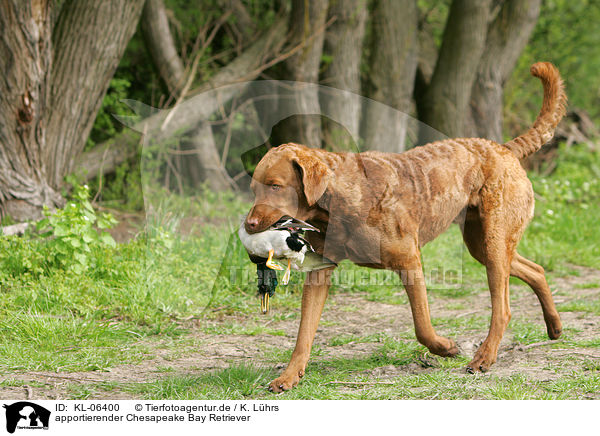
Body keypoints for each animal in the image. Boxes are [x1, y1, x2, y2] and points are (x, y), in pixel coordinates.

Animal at [244, 62, 568, 392]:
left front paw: (446, 348)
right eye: (254, 189)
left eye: (275, 186)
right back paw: (554, 327)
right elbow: (304, 334)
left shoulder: (410, 260)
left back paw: (484, 358)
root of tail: (504, 148)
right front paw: (288, 376)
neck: (339, 199)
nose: (249, 223)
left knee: (502, 308)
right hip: (483, 245)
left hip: (493, 243)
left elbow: (422, 326)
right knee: (536, 270)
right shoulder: (321, 271)